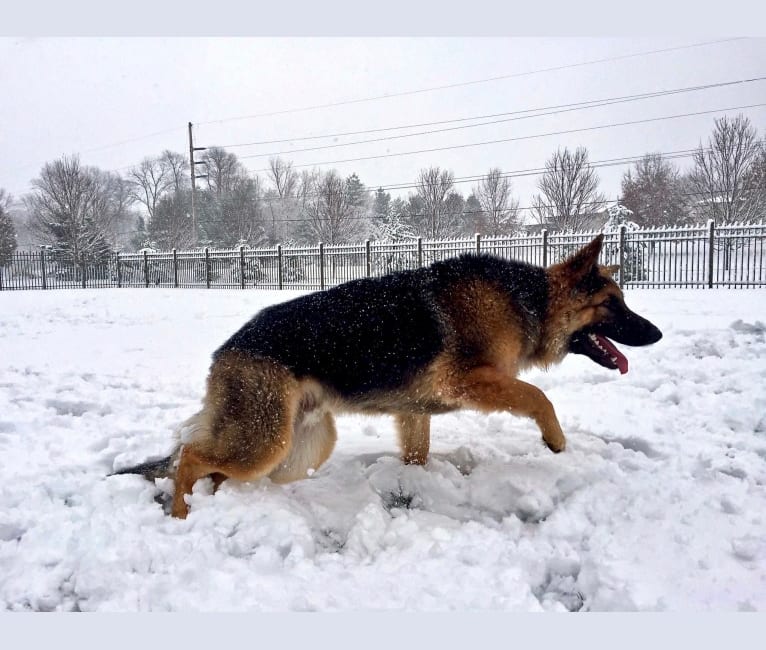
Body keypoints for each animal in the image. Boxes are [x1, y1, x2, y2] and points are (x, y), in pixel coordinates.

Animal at [115, 233, 664, 516]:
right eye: (613, 304)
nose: (657, 333)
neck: (528, 301)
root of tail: (225, 349)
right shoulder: (469, 381)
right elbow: (537, 396)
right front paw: (556, 441)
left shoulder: (416, 413)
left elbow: (417, 455)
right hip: (265, 442)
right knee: (189, 457)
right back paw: (182, 514)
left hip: (299, 447)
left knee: (210, 467)